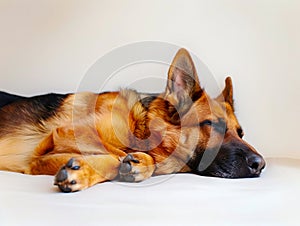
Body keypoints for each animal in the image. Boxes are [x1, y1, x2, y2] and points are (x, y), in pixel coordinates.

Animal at [0, 48, 264, 192]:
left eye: (241, 133)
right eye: (211, 124)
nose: (259, 164)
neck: (141, 127)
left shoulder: (37, 160)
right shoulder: (63, 135)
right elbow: (117, 155)